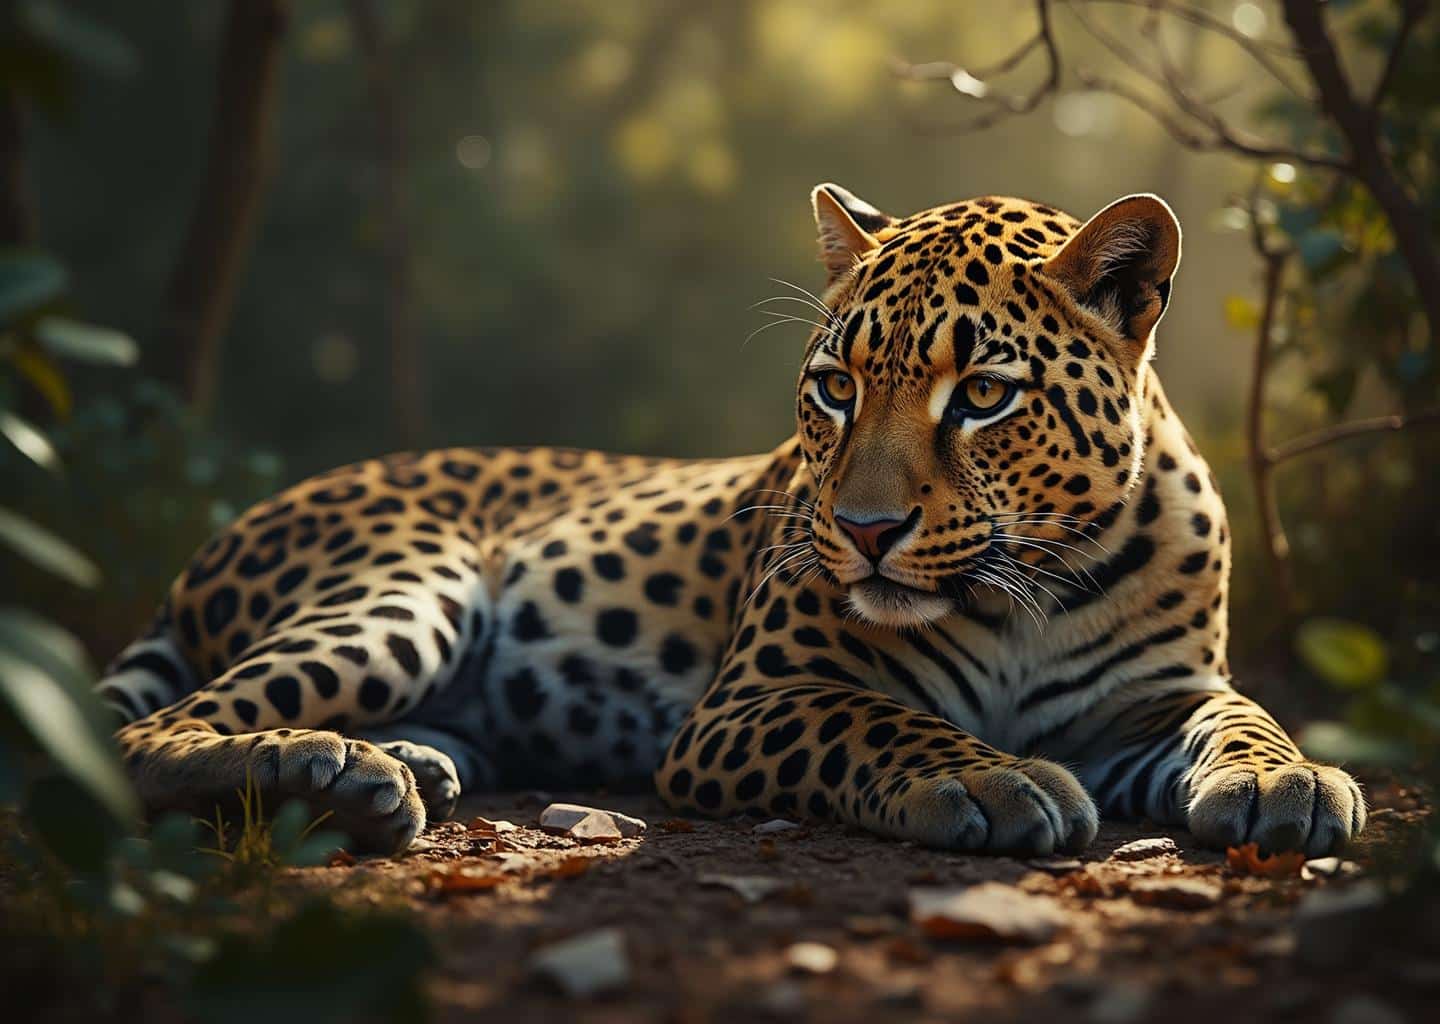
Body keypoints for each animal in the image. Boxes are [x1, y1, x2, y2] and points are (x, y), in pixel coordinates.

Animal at [98, 184, 1366, 858]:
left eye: (982, 395)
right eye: (836, 388)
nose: (862, 528)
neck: (1031, 595)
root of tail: (224, 535)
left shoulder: (1159, 699)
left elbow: (1244, 716)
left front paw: (1290, 780)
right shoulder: (750, 700)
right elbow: (878, 722)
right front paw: (996, 779)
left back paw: (384, 774)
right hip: (405, 586)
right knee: (148, 736)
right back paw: (320, 765)